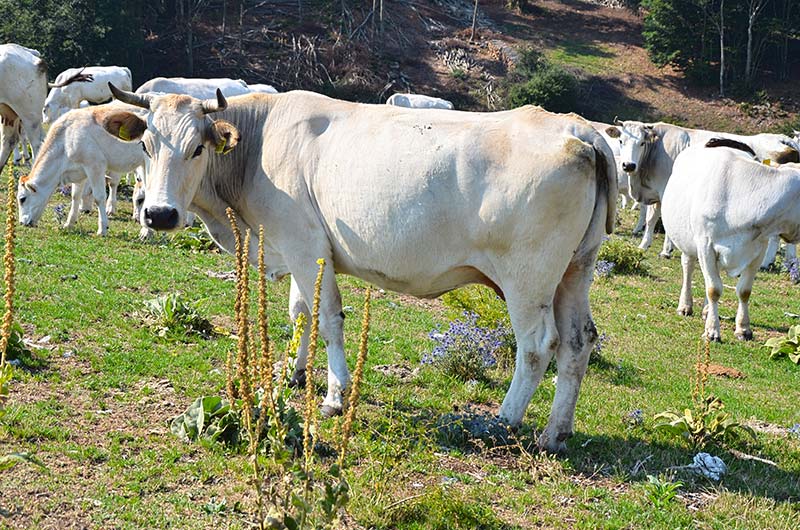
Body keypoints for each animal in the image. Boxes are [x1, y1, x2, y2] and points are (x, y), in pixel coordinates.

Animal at [17, 103, 147, 235]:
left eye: (22, 199)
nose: (22, 223)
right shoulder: (79, 172)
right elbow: (75, 196)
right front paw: (69, 224)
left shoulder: (95, 165)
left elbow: (99, 197)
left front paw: (102, 229)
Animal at [101, 84, 617, 452]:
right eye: (146, 145)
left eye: (197, 148)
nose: (160, 214)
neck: (258, 146)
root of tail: (577, 129)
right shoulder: (294, 244)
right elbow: (301, 312)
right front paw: (293, 373)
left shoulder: (306, 243)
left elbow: (328, 319)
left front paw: (334, 395)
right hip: (576, 270)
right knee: (579, 342)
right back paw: (555, 434)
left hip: (528, 277)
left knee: (537, 345)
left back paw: (500, 422)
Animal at [605, 121, 799, 255]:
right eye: (621, 141)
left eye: (641, 143)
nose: (628, 165)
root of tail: (786, 140)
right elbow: (651, 219)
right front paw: (646, 244)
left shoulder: (666, 189)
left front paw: (665, 250)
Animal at [661, 141, 800, 342]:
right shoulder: (705, 245)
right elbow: (714, 289)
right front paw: (712, 331)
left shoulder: (758, 250)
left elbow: (744, 291)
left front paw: (743, 328)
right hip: (687, 241)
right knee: (688, 267)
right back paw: (685, 305)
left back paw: (706, 311)